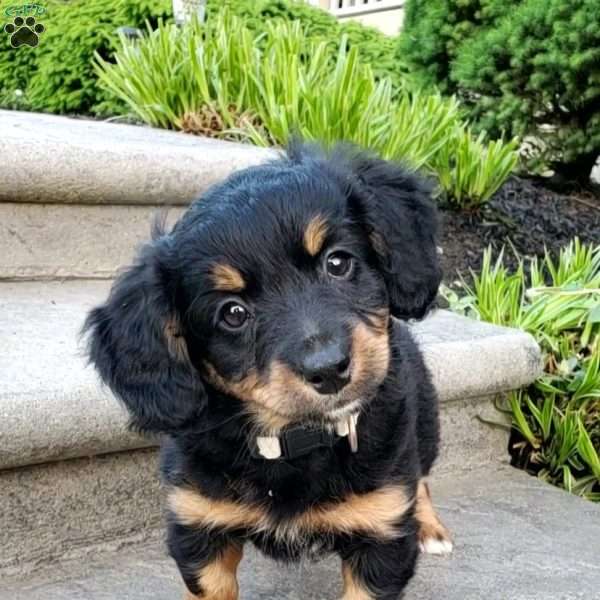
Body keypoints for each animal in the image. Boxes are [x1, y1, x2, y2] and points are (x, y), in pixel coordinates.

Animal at [83, 145, 450, 600]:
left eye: (337, 262)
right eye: (233, 313)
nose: (329, 369)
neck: (293, 440)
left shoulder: (381, 536)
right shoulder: (199, 524)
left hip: (425, 426)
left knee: (422, 478)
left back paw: (431, 528)